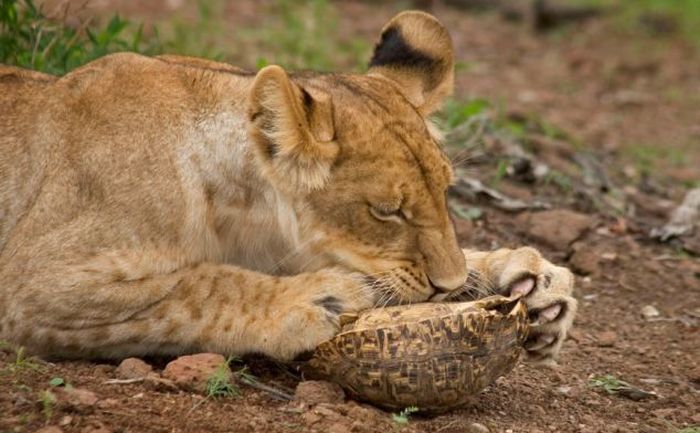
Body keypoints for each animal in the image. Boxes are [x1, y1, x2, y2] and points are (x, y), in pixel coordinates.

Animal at [0, 11, 576, 362]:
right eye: (386, 211)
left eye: (446, 193)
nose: (449, 284)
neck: (237, 210)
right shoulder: (33, 284)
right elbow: (196, 284)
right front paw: (317, 299)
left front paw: (530, 282)